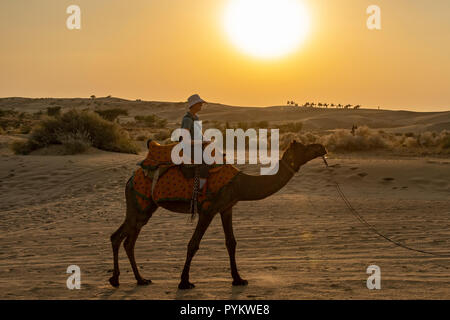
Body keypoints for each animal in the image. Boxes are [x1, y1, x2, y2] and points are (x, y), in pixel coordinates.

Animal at [109, 141, 326, 288]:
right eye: (305, 147)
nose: (322, 147)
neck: (239, 184)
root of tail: (130, 178)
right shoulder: (208, 210)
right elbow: (193, 244)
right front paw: (184, 282)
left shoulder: (226, 207)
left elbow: (231, 243)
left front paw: (238, 279)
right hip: (139, 204)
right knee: (118, 237)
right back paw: (116, 279)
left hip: (145, 208)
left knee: (127, 240)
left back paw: (139, 279)